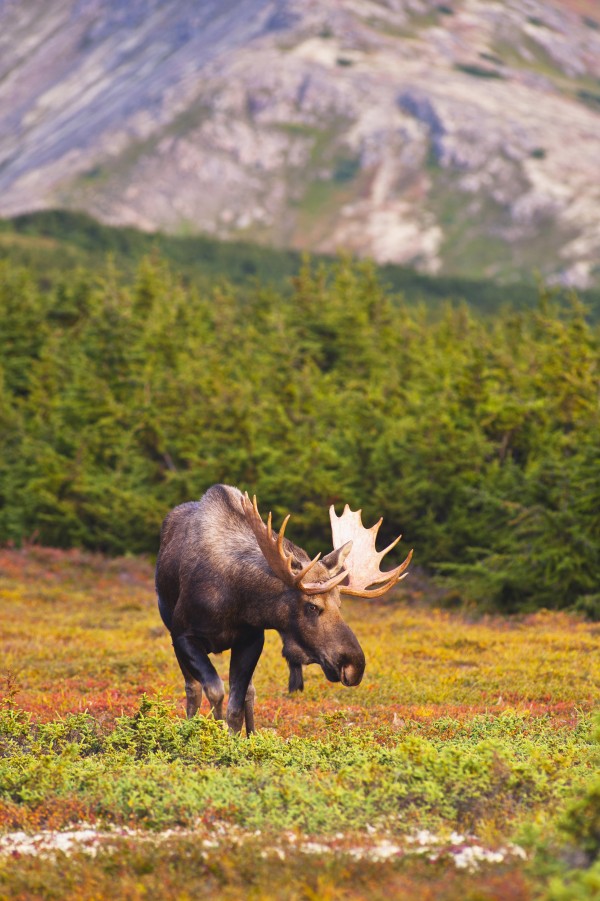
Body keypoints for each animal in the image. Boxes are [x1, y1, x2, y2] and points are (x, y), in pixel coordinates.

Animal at [156, 484, 412, 734]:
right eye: (312, 606)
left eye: (339, 604)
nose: (354, 665)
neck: (235, 601)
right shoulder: (182, 635)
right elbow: (213, 689)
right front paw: (212, 731)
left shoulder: (251, 639)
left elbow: (236, 708)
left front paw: (235, 739)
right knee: (193, 688)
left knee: (249, 692)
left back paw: (253, 734)